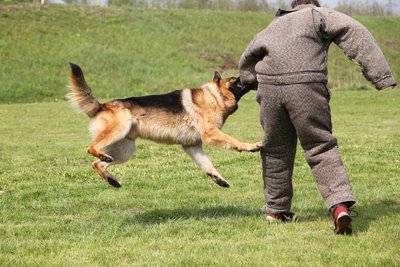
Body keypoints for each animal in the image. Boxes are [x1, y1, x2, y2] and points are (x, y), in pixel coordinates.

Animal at [68, 63, 262, 188]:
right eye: (235, 79)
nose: (254, 74)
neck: (214, 97)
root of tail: (102, 106)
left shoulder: (193, 146)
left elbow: (208, 165)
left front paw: (219, 179)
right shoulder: (210, 134)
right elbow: (235, 141)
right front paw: (252, 146)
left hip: (125, 150)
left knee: (97, 164)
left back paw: (112, 180)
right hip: (118, 131)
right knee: (91, 148)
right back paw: (102, 158)